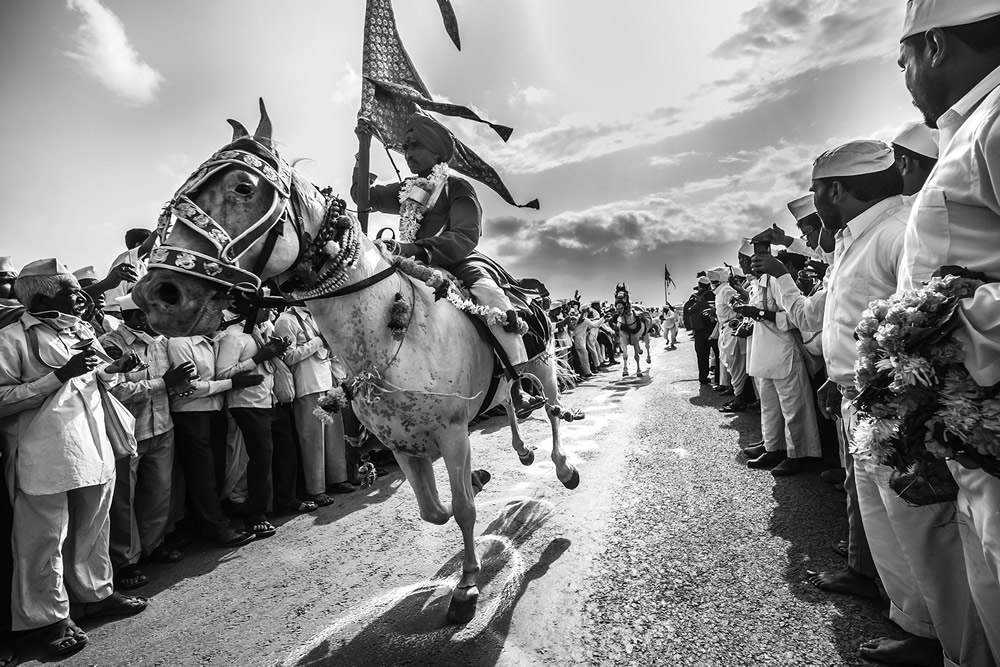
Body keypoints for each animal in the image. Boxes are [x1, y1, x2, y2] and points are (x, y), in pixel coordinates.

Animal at [131, 100, 580, 628]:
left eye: (243, 187)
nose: (157, 294)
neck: (391, 329)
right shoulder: (401, 442)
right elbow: (436, 511)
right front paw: (474, 484)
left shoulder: (451, 431)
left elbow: (464, 511)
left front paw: (467, 585)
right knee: (508, 396)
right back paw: (521, 451)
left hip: (542, 363)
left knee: (549, 407)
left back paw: (562, 466)